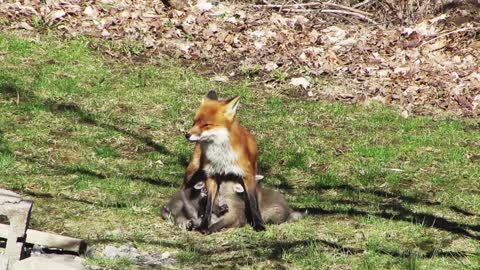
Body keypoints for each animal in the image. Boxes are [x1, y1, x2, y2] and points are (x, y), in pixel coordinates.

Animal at [185, 91, 266, 232]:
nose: (187, 135)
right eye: (194, 122)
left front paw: (258, 224)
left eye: (206, 125)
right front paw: (204, 225)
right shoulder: (211, 175)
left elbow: (253, 202)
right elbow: (208, 205)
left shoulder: (247, 175)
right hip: (192, 170)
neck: (222, 157)